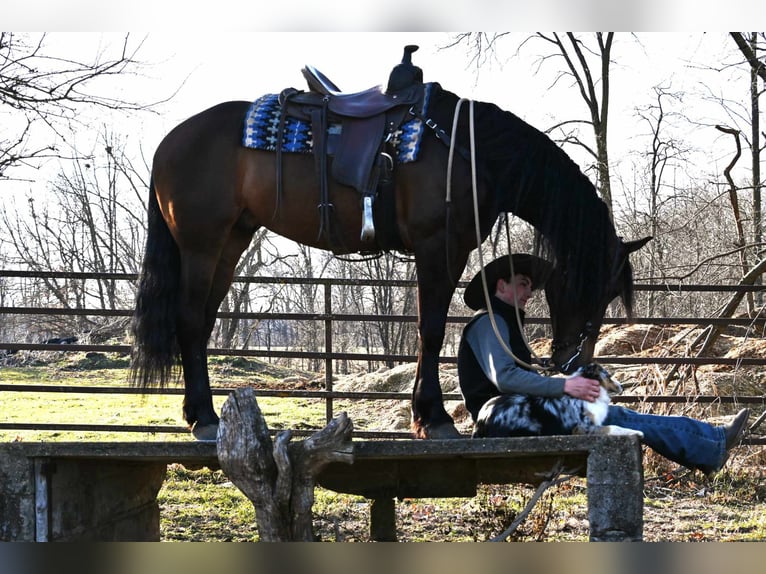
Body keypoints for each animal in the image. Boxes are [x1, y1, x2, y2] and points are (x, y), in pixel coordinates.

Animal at [476, 364, 644, 440]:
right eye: (608, 376)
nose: (622, 386)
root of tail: (482, 417)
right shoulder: (582, 428)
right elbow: (613, 427)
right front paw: (636, 432)